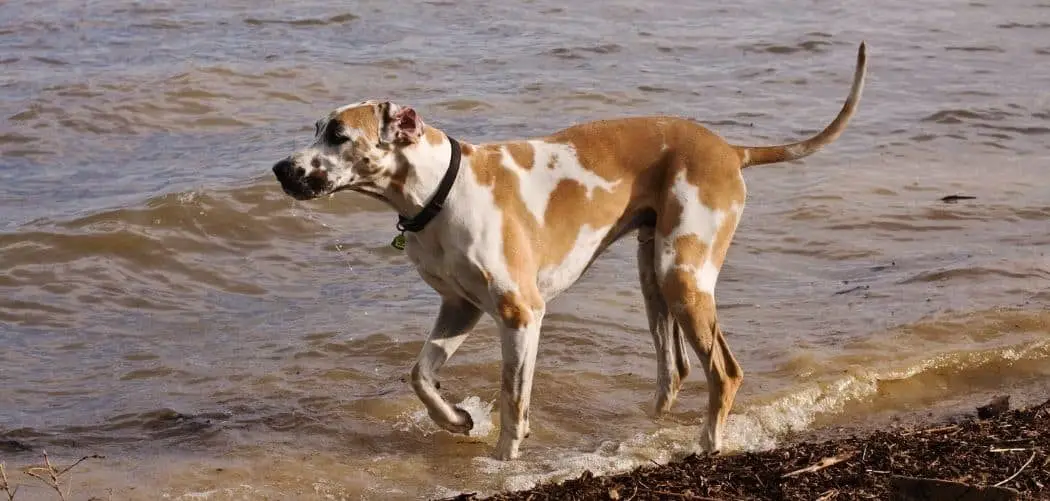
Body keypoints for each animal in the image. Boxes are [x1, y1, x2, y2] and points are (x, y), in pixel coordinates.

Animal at [273, 43, 869, 460]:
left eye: (338, 134)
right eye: (317, 129)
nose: (280, 169)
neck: (439, 192)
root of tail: (729, 148)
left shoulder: (520, 314)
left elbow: (513, 398)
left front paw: (503, 459)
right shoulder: (459, 308)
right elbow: (420, 376)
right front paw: (456, 420)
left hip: (683, 275)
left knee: (725, 371)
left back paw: (707, 443)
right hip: (654, 279)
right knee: (674, 370)